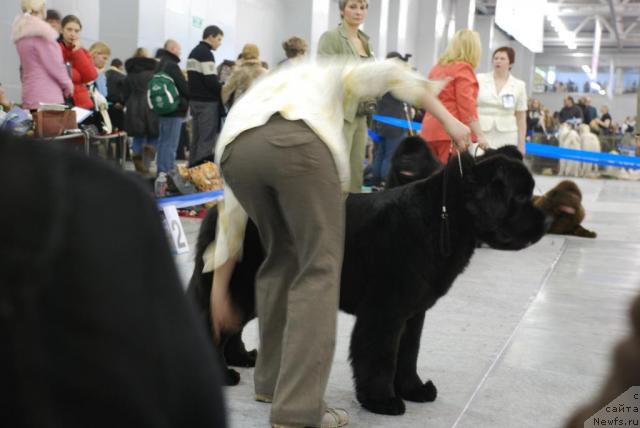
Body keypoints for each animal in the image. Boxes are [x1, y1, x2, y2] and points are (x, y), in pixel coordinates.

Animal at [188, 142, 548, 416]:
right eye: (520, 197)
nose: (546, 220)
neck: (442, 218)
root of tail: (218, 207)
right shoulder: (384, 312)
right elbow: (380, 356)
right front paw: (382, 401)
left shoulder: (413, 313)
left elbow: (408, 354)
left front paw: (414, 389)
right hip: (239, 284)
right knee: (211, 322)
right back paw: (222, 374)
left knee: (230, 322)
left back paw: (242, 358)